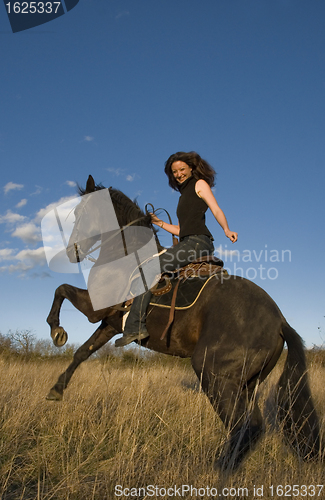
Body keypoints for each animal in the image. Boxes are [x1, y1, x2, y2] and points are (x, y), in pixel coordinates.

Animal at [46, 177, 322, 472]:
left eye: (81, 212)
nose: (71, 252)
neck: (123, 258)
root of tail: (280, 320)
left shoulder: (96, 310)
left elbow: (61, 289)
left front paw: (57, 331)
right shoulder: (111, 323)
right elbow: (82, 352)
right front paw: (56, 389)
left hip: (214, 375)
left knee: (241, 426)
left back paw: (219, 469)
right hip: (246, 385)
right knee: (253, 426)